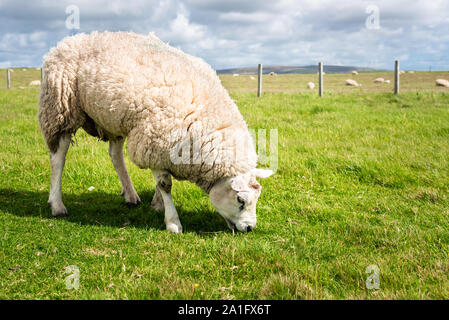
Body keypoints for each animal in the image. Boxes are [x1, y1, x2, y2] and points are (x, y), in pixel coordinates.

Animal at [38, 31, 272, 234]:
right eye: (241, 200)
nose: (249, 228)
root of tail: (69, 40)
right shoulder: (154, 142)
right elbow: (165, 184)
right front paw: (172, 222)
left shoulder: (165, 147)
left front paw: (157, 204)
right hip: (61, 107)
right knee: (58, 157)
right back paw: (57, 205)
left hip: (115, 117)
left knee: (115, 154)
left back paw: (130, 195)